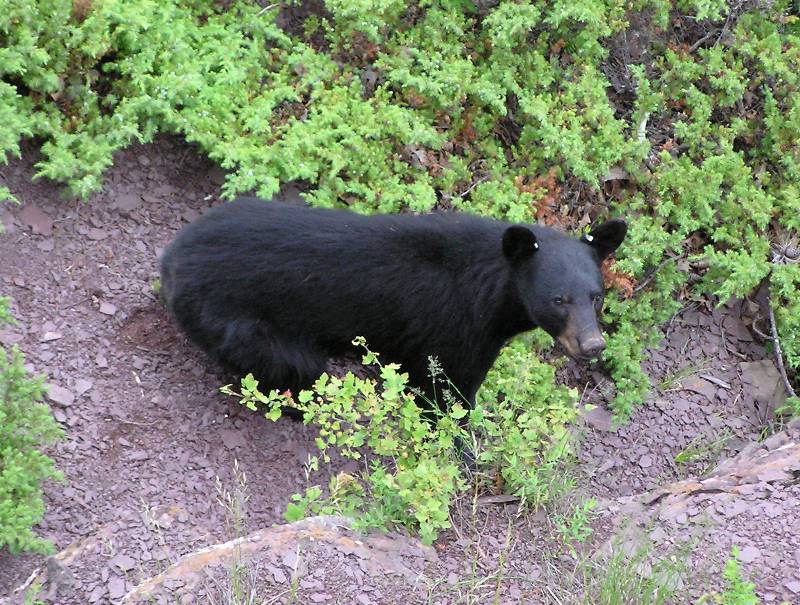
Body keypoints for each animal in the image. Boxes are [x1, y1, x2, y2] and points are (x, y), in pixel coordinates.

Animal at [159, 197, 628, 406]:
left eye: (596, 297)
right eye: (558, 299)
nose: (593, 345)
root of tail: (172, 256)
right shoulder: (455, 331)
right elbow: (447, 392)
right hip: (240, 319)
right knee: (289, 367)